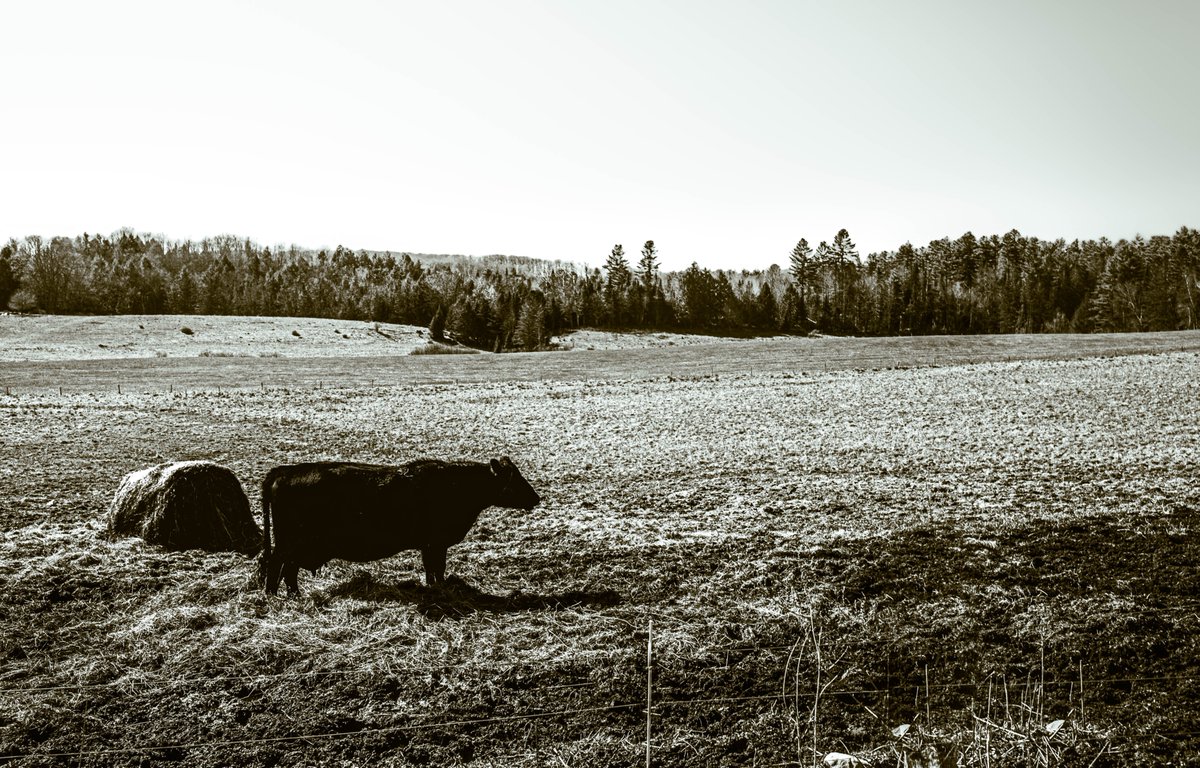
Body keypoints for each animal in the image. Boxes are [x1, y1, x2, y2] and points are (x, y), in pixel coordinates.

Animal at [259, 456, 541, 595]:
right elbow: (436, 568)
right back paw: (275, 597)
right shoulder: (435, 543)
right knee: (277, 566)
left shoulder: (431, 545)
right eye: (514, 479)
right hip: (289, 543)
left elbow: (433, 570)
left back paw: (293, 595)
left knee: (288, 569)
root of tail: (284, 471)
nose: (536, 498)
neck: (455, 484)